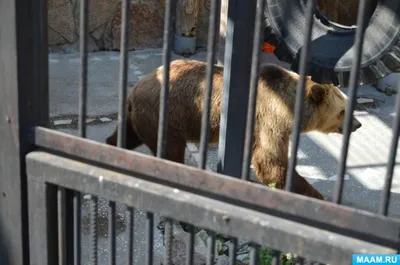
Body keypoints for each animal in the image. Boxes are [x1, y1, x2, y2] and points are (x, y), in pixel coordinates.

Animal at [104, 59, 360, 199]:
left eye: (348, 107)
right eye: (343, 111)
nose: (357, 124)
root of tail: (135, 90)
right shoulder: (270, 117)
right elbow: (272, 160)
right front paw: (314, 194)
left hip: (140, 117)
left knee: (127, 135)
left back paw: (111, 146)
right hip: (166, 115)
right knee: (171, 150)